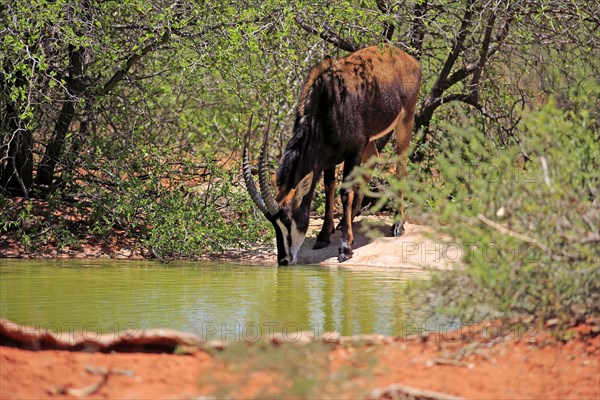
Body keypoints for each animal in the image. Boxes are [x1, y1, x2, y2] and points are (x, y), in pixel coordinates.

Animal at [241, 45, 420, 266]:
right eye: (272, 222)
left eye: (288, 220)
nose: (284, 260)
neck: (326, 103)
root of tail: (407, 58)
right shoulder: (327, 158)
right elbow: (329, 188)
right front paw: (324, 236)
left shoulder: (354, 149)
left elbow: (345, 192)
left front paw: (345, 248)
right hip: (370, 140)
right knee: (373, 159)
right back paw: (347, 220)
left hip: (405, 120)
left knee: (401, 167)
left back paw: (397, 225)